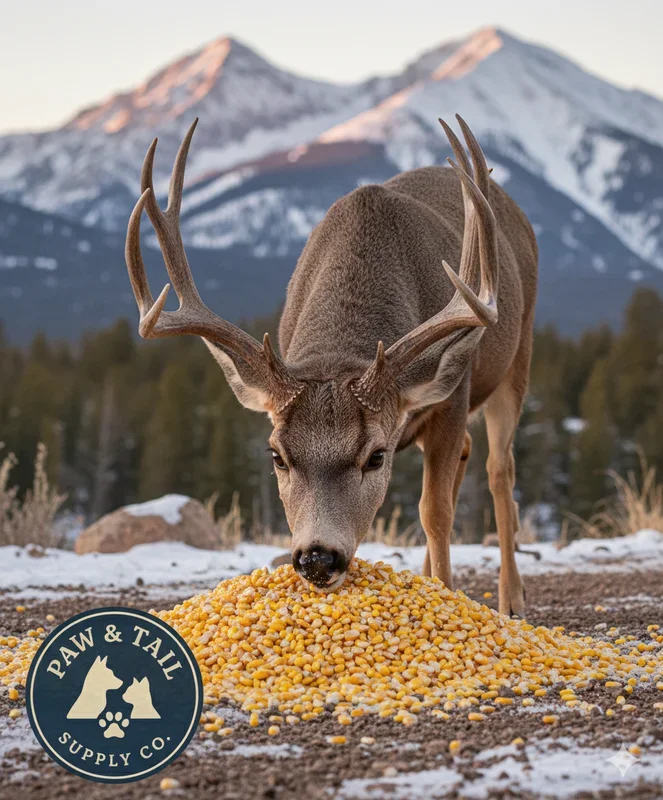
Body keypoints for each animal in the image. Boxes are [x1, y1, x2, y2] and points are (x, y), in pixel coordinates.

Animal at [125, 114, 537, 617]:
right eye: (277, 455)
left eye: (376, 456)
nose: (318, 558)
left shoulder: (452, 394)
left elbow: (435, 512)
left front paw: (444, 595)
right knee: (469, 452)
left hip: (517, 355)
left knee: (500, 468)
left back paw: (511, 597)